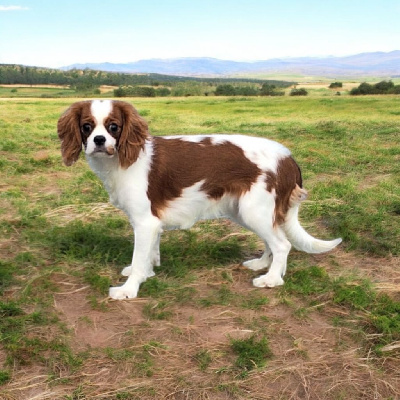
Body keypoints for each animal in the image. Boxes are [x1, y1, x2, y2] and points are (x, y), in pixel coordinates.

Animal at [57, 100, 342, 300]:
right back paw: (261, 264)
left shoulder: (145, 222)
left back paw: (270, 279)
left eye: (113, 126)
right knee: (272, 240)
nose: (99, 140)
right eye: (87, 126)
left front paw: (129, 290)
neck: (124, 157)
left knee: (282, 244)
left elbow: (139, 258)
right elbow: (150, 254)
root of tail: (288, 157)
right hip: (247, 211)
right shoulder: (153, 222)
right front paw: (148, 272)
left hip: (253, 210)